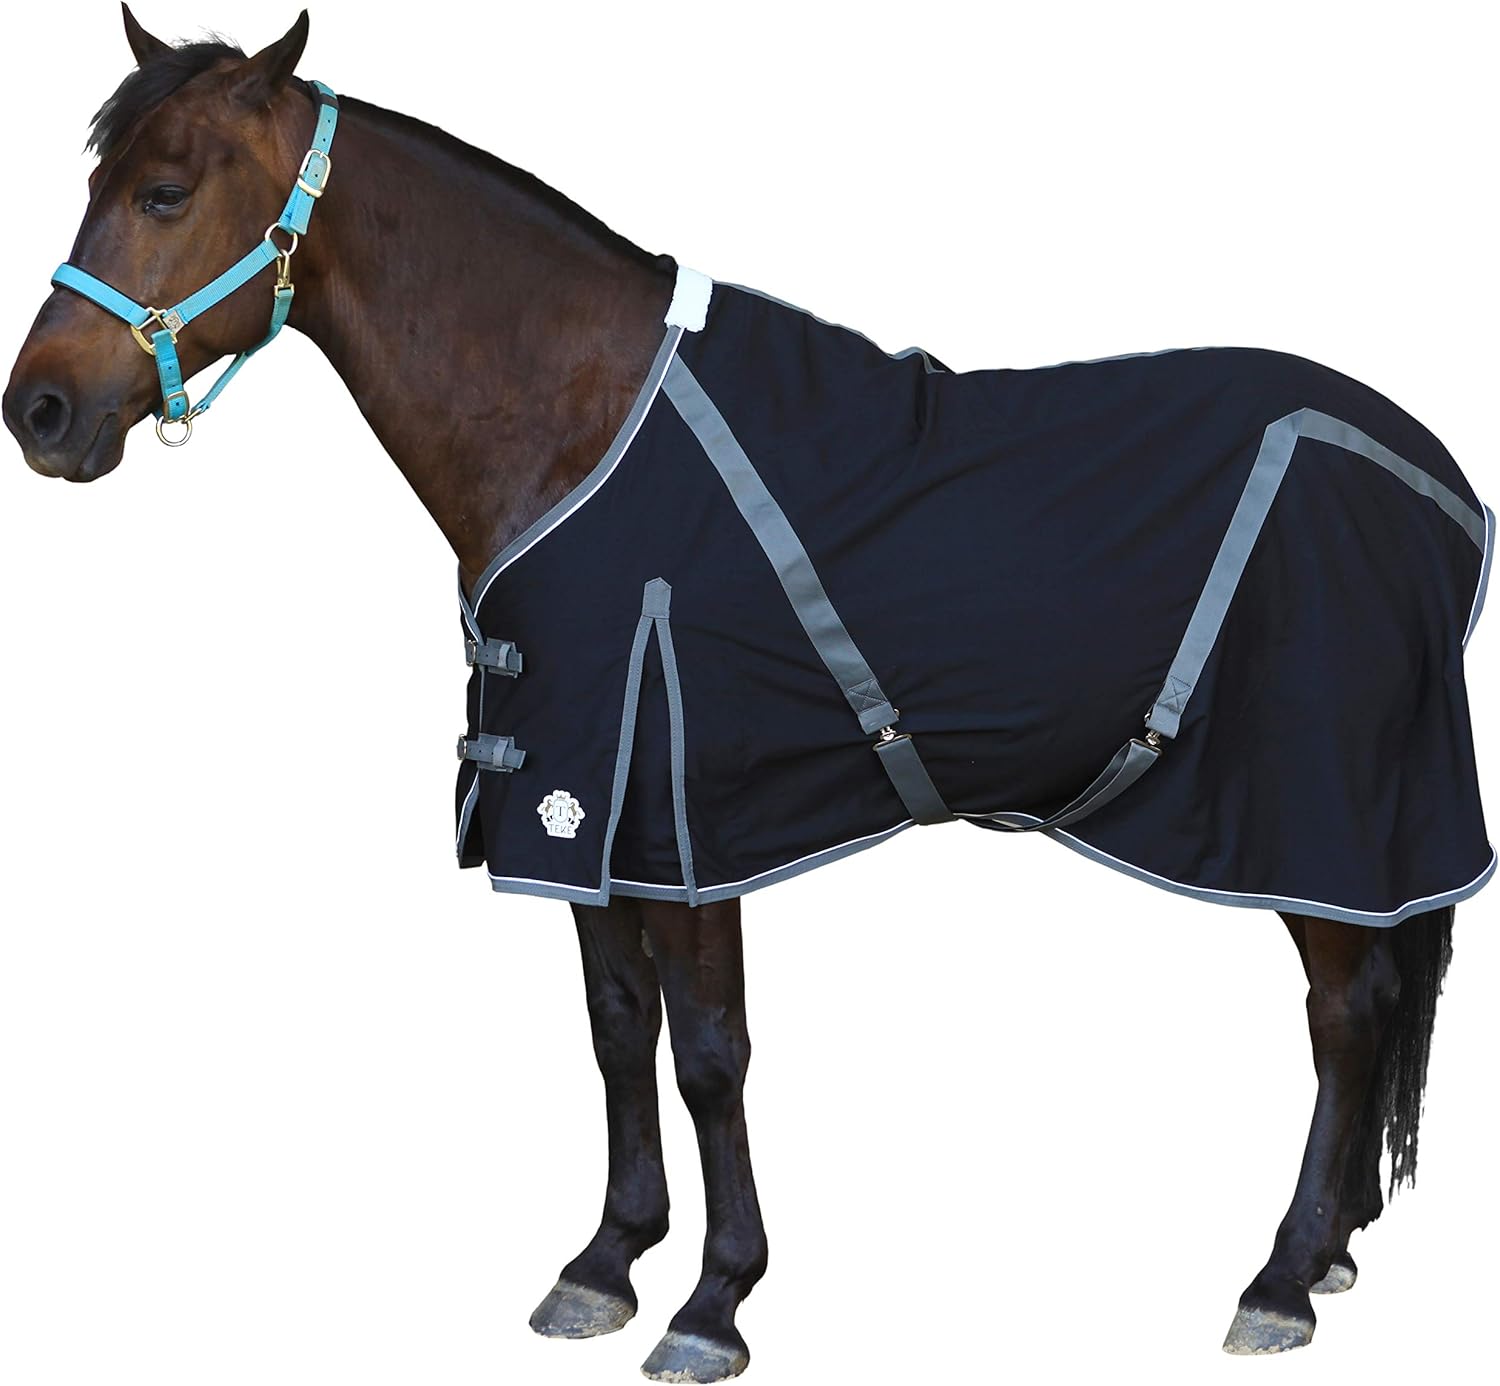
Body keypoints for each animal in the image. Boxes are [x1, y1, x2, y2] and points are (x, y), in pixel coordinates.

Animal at [5, 9, 1491, 1379]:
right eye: (99, 180)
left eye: (165, 192)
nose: (40, 415)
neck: (576, 423)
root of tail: (1438, 479)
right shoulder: (578, 805)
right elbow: (619, 1036)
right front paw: (605, 1261)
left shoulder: (679, 810)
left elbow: (711, 1052)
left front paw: (714, 1301)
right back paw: (1333, 1249)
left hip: (1313, 813)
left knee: (1346, 1014)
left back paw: (1282, 1277)